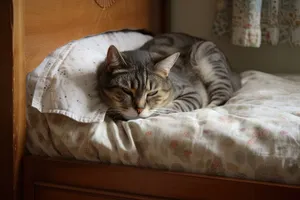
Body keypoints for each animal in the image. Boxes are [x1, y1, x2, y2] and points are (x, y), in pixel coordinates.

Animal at [96, 32, 241, 120]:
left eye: (152, 93)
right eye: (126, 91)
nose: (139, 109)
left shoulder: (191, 93)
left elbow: (174, 106)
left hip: (206, 56)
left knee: (223, 95)